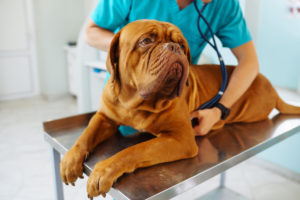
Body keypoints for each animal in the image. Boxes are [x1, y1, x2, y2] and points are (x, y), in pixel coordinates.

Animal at [59, 19, 300, 198]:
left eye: (182, 45)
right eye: (146, 41)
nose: (175, 48)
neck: (136, 102)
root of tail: (273, 89)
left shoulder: (181, 139)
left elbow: (134, 150)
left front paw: (104, 170)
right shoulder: (104, 118)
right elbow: (85, 135)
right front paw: (70, 159)